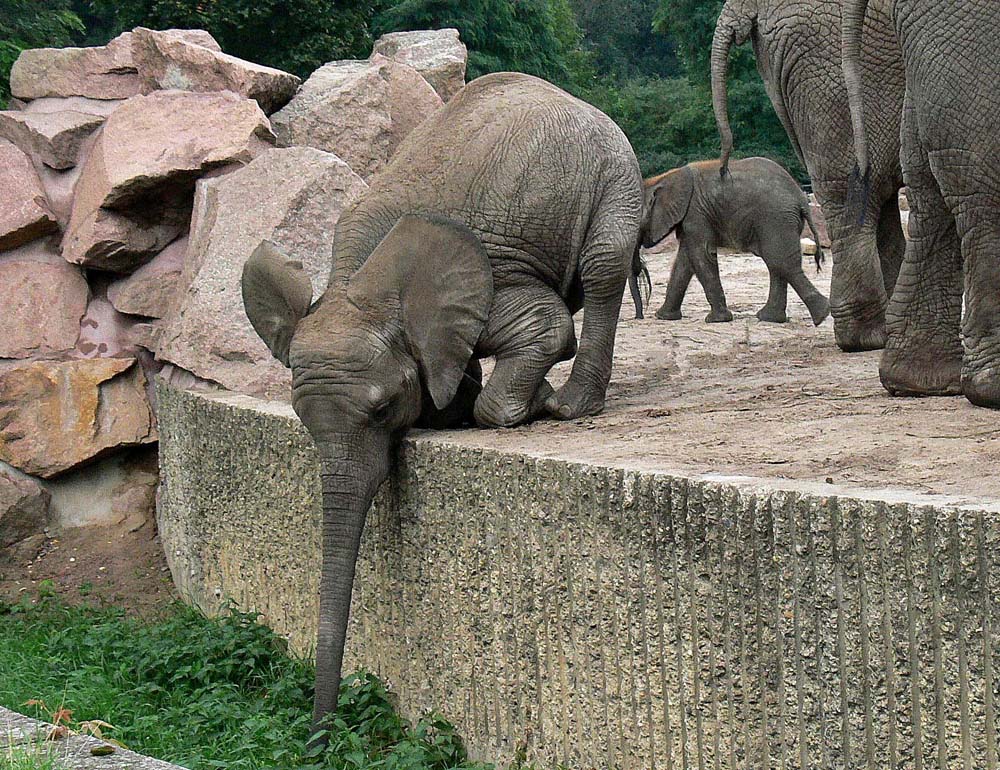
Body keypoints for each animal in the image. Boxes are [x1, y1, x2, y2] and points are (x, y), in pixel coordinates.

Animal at [239, 72, 644, 736]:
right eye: (300, 421)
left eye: (381, 410)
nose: (319, 734)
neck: (360, 283)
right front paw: (452, 404)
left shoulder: (492, 274)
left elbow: (548, 329)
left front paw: (527, 405)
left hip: (616, 170)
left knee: (604, 268)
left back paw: (572, 406)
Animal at [644, 156, 832, 324]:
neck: (667, 177)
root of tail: (801, 199)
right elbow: (685, 261)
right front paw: (663, 317)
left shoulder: (695, 214)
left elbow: (701, 255)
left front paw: (717, 320)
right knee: (776, 263)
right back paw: (772, 318)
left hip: (776, 218)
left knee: (780, 262)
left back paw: (821, 314)